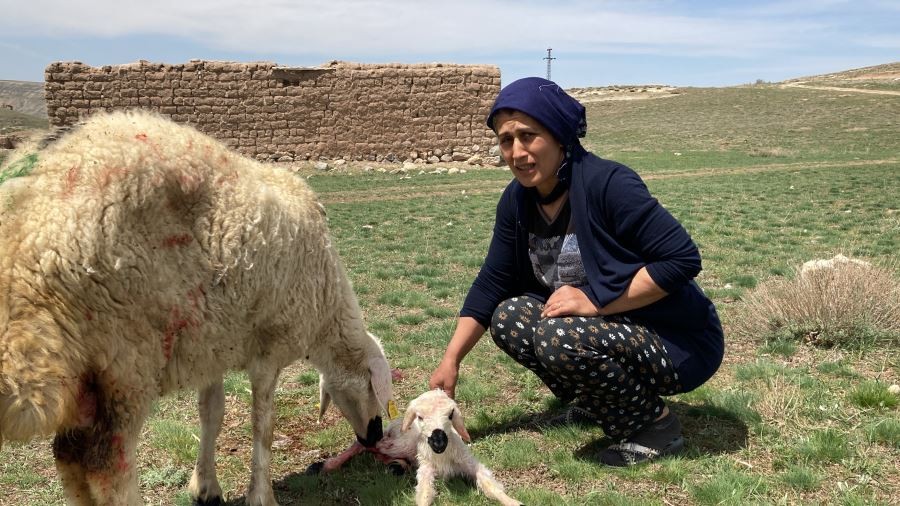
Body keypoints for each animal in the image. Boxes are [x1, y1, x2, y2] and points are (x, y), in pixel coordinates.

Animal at [0, 110, 394, 506]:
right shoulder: (270, 347)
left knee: (69, 456)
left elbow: (212, 415)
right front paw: (261, 494)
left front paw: (206, 487)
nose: (374, 436)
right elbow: (263, 425)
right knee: (105, 461)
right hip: (124, 356)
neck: (327, 304)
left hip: (88, 372)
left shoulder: (211, 345)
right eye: (373, 387)